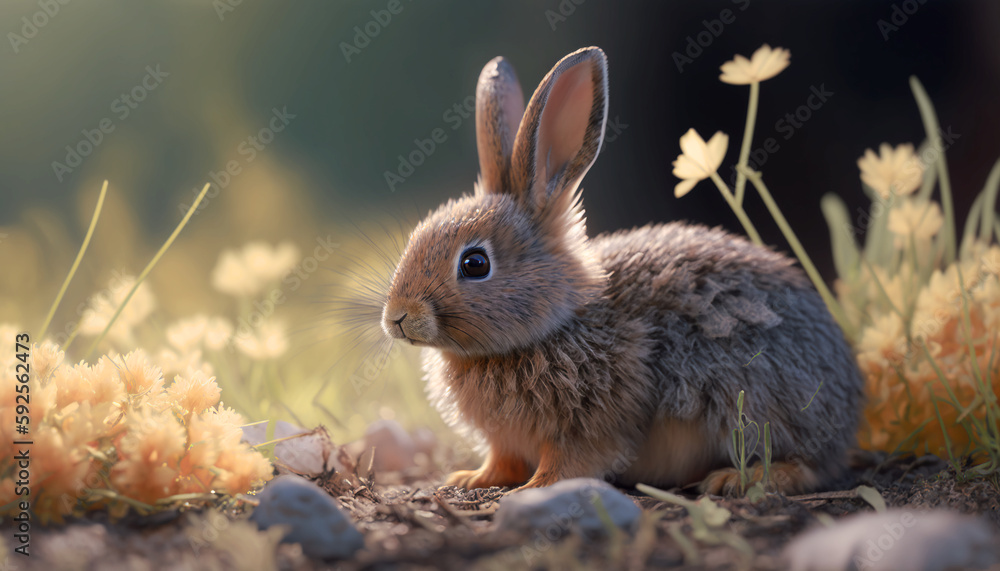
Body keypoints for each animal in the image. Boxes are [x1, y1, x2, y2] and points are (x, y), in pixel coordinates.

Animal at [380, 46, 864, 496]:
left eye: (474, 264)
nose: (398, 318)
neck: (556, 322)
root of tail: (852, 402)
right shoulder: (506, 441)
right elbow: (502, 460)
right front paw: (471, 478)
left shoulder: (592, 422)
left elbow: (572, 460)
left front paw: (534, 489)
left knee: (809, 465)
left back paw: (741, 478)